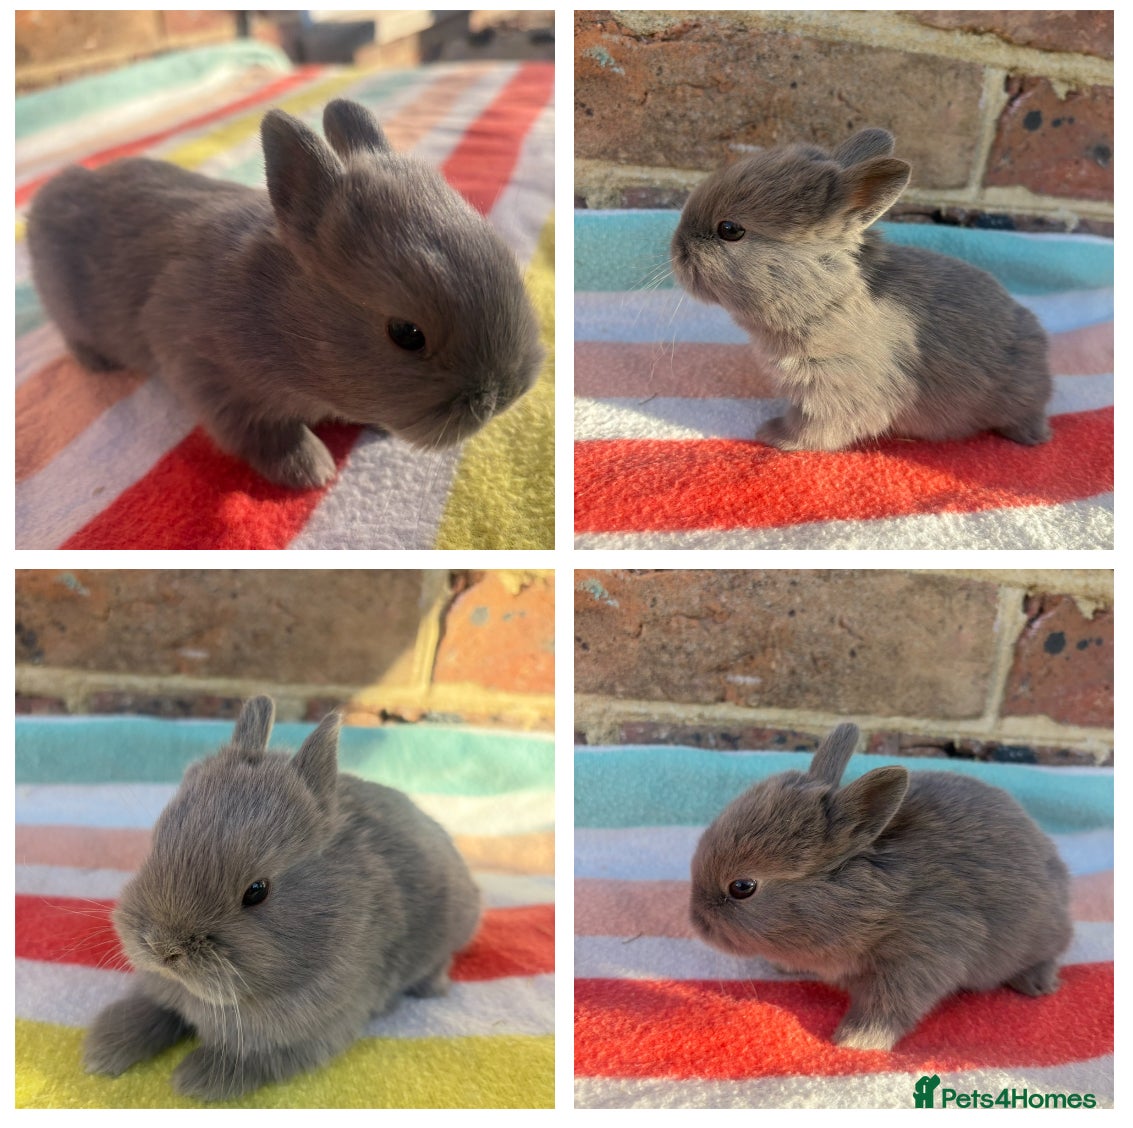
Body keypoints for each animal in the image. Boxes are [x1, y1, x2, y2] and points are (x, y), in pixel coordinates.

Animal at [26, 99, 543, 488]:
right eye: (406, 334)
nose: (506, 396)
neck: (279, 309)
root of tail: (47, 197)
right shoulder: (212, 377)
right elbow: (269, 435)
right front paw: (313, 470)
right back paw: (98, 363)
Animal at [83, 696, 482, 1100]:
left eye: (257, 891)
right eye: (156, 844)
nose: (162, 948)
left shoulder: (314, 1032)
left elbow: (258, 1059)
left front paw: (195, 1080)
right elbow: (152, 1012)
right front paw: (104, 1048)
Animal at [670, 128, 1052, 451]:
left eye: (730, 230)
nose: (674, 249)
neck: (826, 299)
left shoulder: (836, 391)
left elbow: (814, 428)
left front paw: (772, 435)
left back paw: (1032, 437)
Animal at [689, 722, 1072, 1051]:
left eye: (742, 886)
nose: (695, 922)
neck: (870, 900)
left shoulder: (923, 954)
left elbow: (888, 1005)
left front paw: (855, 1040)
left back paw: (1038, 985)